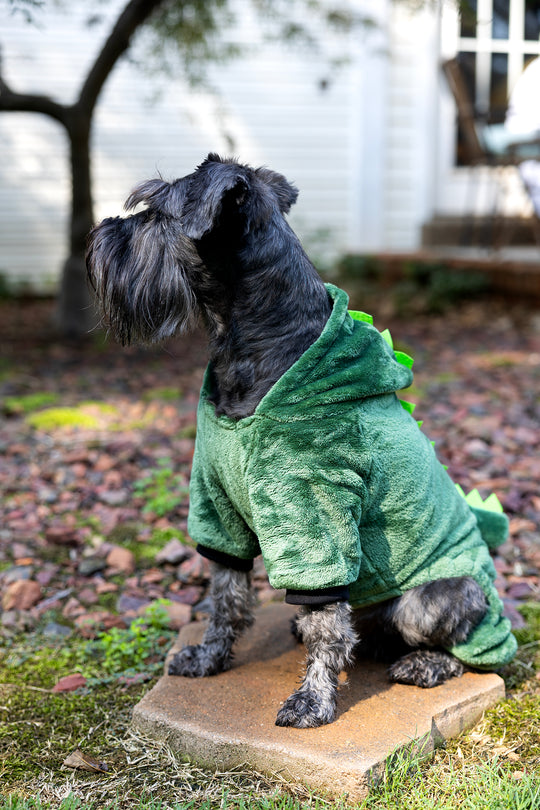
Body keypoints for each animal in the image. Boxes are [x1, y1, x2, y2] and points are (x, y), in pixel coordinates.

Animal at [86, 152, 516, 724]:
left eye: (154, 211)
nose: (97, 236)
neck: (258, 344)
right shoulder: (218, 505)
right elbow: (225, 593)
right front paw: (209, 657)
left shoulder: (313, 508)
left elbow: (325, 622)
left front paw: (314, 699)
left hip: (436, 598)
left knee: (473, 652)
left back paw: (425, 664)